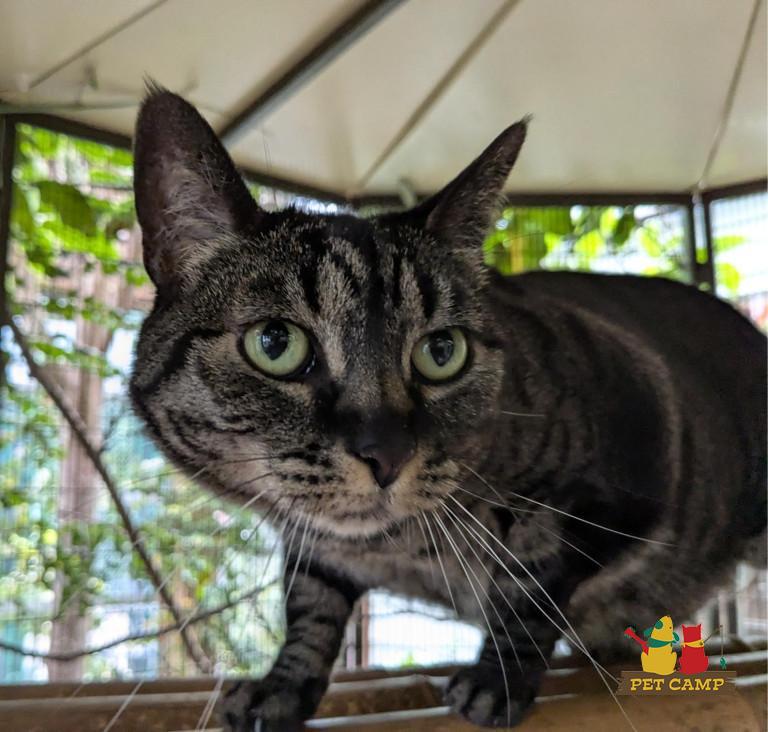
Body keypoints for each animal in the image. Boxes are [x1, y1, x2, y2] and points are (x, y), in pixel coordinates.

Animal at [129, 88, 766, 731]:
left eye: (441, 351)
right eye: (276, 343)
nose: (385, 454)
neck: (393, 546)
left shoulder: (635, 454)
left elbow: (531, 585)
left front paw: (497, 677)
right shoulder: (313, 547)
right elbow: (311, 607)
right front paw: (283, 684)